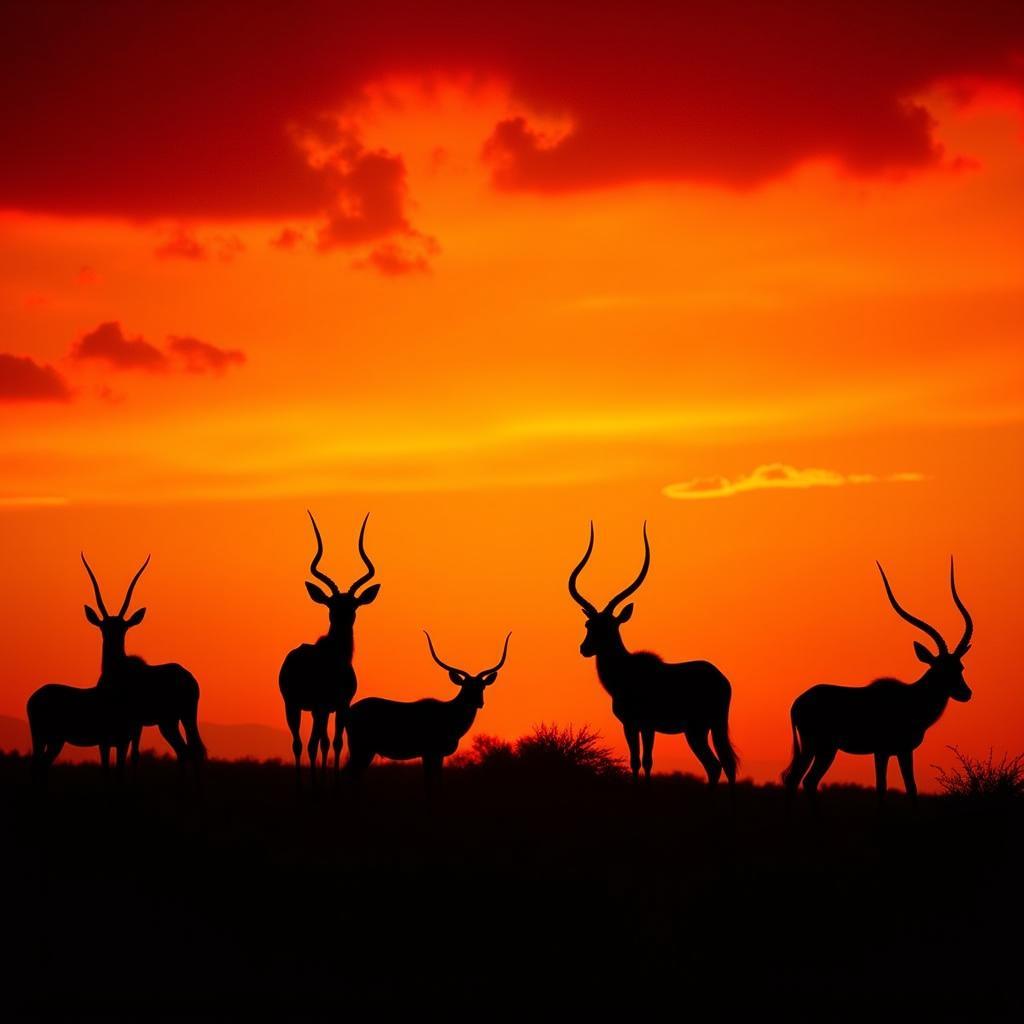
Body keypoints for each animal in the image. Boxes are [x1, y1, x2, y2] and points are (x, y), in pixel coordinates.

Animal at [79, 552, 205, 770]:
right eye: (104, 628)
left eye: (123, 628)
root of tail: (189, 678)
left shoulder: (133, 723)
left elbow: (132, 756)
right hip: (175, 720)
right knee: (187, 750)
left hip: (176, 718)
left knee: (190, 750)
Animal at [280, 512, 380, 782]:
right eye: (331, 606)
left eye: (353, 606)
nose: (343, 621)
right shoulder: (322, 706)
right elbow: (320, 744)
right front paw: (323, 784)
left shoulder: (340, 706)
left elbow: (335, 743)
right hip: (295, 706)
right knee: (301, 744)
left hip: (312, 709)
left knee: (313, 742)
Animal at [348, 626, 512, 786]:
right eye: (466, 686)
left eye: (482, 686)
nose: (479, 702)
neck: (450, 715)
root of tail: (349, 711)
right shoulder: (429, 752)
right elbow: (429, 781)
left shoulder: (437, 754)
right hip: (361, 748)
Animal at [569, 524, 737, 786]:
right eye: (589, 624)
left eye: (610, 626)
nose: (585, 648)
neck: (625, 671)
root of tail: (722, 679)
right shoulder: (632, 725)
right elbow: (635, 762)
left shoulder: (644, 725)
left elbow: (645, 762)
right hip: (709, 727)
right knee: (721, 765)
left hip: (698, 729)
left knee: (717, 765)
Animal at [778, 557, 970, 802]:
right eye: (940, 670)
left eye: (959, 667)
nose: (966, 693)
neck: (912, 697)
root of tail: (798, 703)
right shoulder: (888, 751)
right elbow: (890, 787)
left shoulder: (895, 751)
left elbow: (904, 787)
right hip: (821, 747)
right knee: (803, 779)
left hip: (820, 749)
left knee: (802, 780)